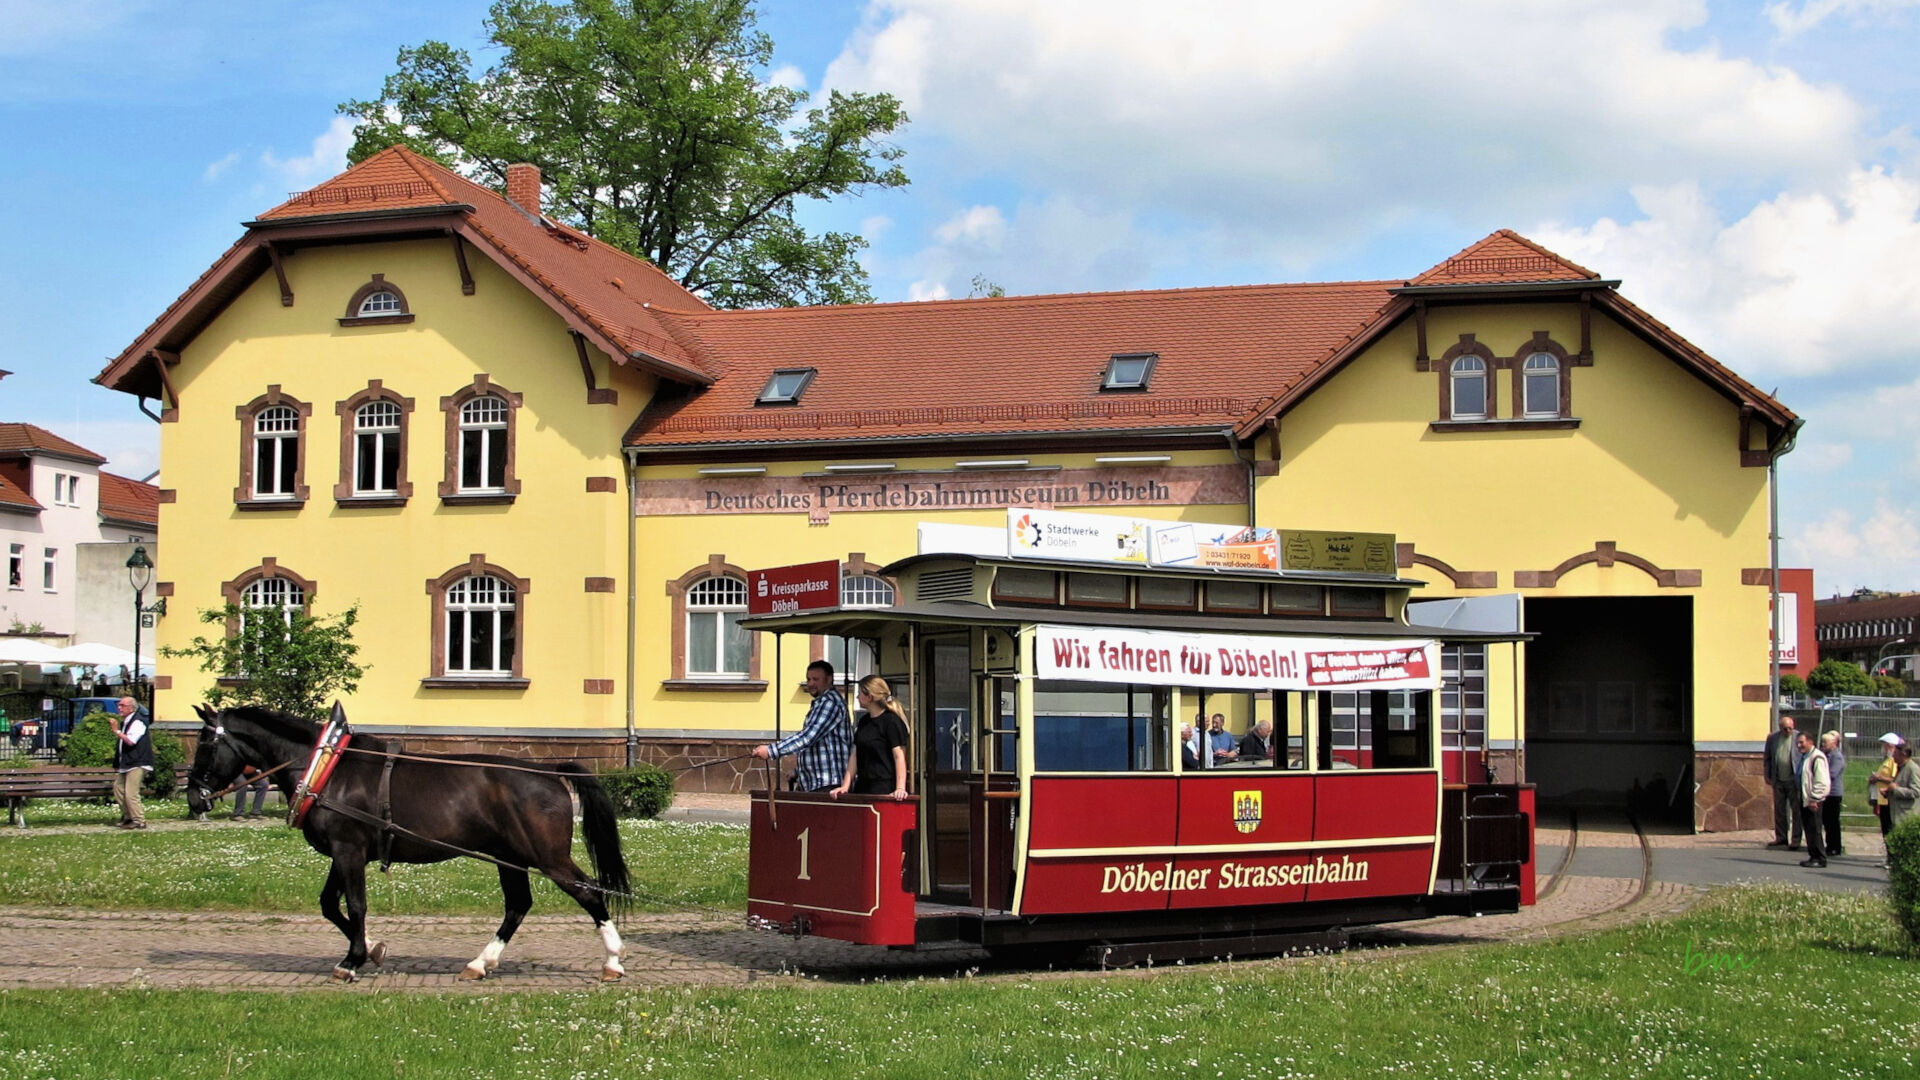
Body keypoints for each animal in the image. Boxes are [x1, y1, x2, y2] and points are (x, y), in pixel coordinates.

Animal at [182, 703, 629, 980]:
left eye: (205, 743)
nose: (192, 797)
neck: (330, 769)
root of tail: (550, 771)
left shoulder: (348, 851)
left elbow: (356, 905)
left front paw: (352, 960)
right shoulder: (345, 853)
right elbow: (330, 905)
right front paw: (371, 948)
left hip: (546, 856)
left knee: (589, 893)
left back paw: (613, 960)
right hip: (509, 857)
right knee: (518, 905)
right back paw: (480, 962)